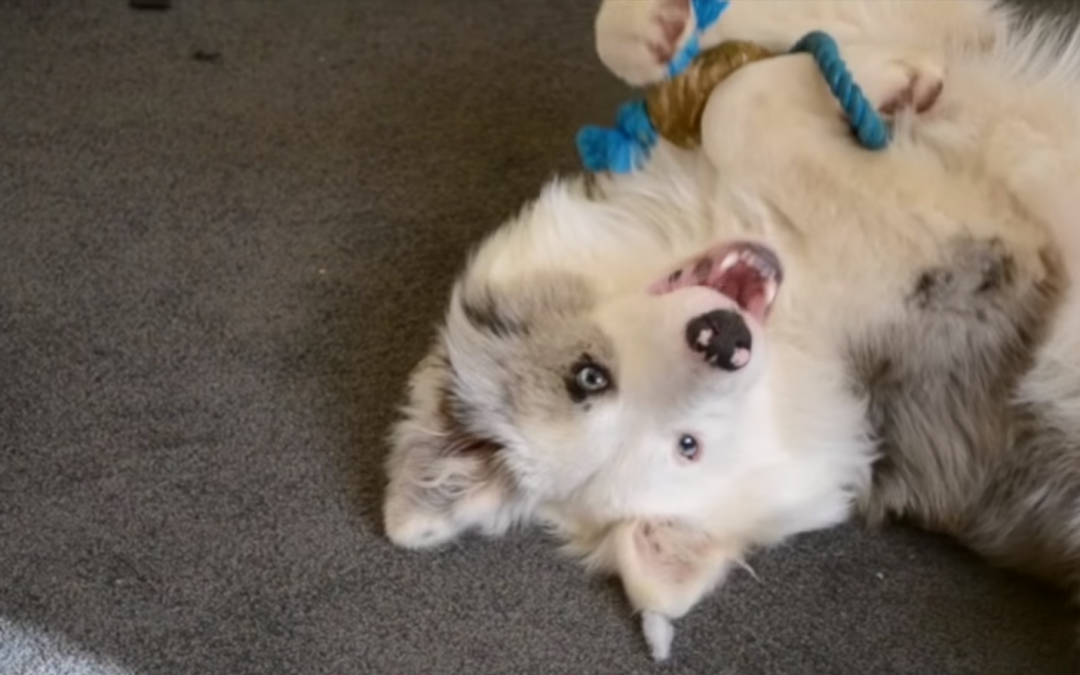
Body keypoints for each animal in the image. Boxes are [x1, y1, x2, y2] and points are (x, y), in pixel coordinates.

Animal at [386, 0, 1080, 656]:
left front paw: (661, 33)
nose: (723, 339)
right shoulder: (984, 258)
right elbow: (735, 107)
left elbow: (686, 56)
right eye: (687, 447)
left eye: (587, 376)